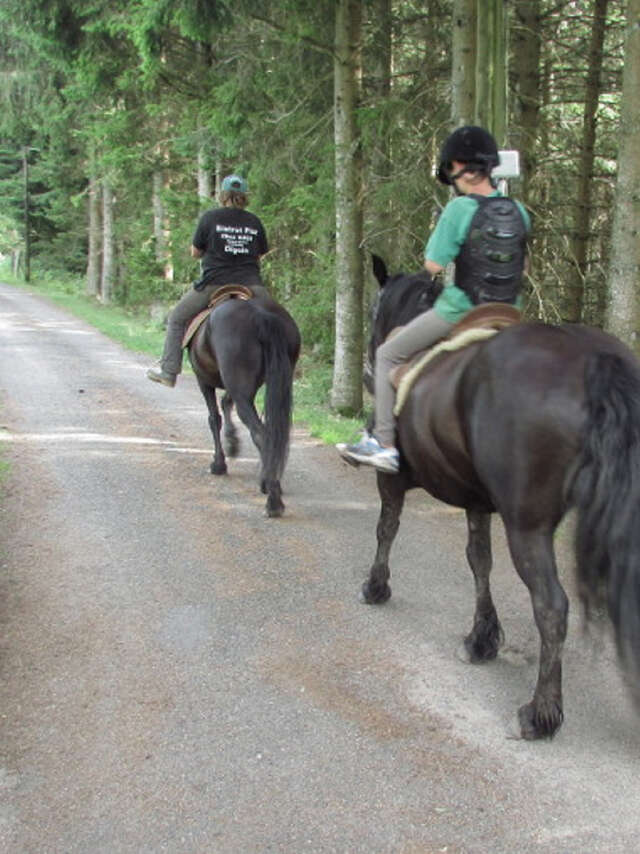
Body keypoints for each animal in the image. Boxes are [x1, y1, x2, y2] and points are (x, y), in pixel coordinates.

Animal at [188, 288, 302, 520]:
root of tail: (260, 315)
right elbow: (225, 404)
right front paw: (232, 443)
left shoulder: (203, 381)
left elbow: (214, 418)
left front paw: (218, 464)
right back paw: (269, 484)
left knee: (261, 434)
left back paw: (273, 501)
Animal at [360, 256, 640, 744]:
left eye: (375, 306)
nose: (366, 371)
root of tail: (596, 362)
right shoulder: (477, 500)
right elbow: (479, 560)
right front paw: (482, 638)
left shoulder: (392, 482)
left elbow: (387, 528)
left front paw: (376, 586)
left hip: (527, 525)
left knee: (551, 606)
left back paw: (541, 713)